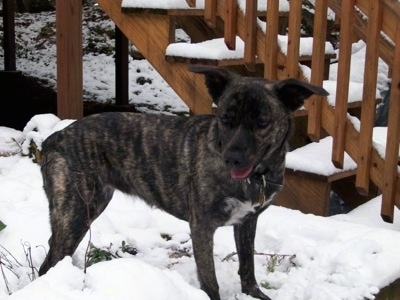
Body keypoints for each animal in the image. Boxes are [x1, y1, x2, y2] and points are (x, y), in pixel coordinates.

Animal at [39, 66, 328, 300]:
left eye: (262, 122)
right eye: (225, 119)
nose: (231, 159)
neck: (257, 175)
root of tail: (54, 138)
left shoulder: (247, 222)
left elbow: (248, 266)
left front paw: (253, 294)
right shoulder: (202, 226)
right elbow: (210, 280)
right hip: (77, 211)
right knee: (49, 263)